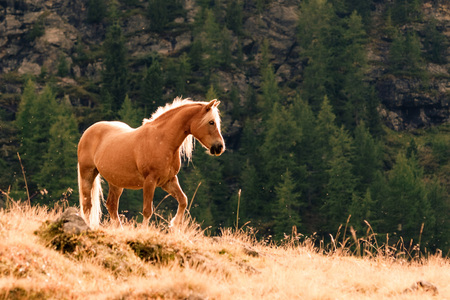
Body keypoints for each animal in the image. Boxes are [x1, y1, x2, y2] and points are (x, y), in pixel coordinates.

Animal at [78, 98, 225, 227]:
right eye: (211, 122)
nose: (219, 147)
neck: (163, 141)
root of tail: (88, 131)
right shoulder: (150, 180)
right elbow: (147, 211)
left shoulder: (169, 180)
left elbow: (183, 200)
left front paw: (175, 225)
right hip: (87, 174)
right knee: (87, 205)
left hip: (116, 182)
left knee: (111, 205)